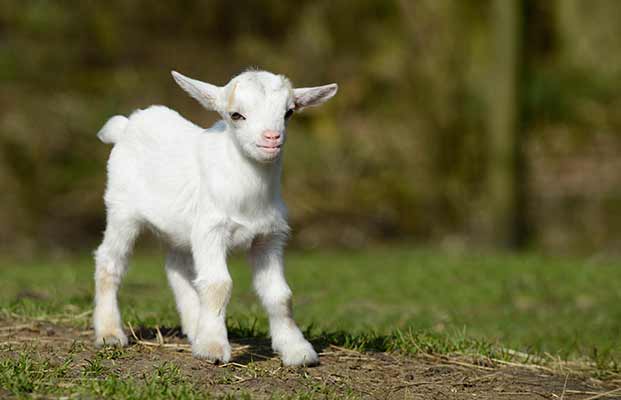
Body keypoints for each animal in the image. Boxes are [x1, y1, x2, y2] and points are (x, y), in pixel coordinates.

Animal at [92, 69, 336, 366]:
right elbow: (219, 284)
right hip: (122, 212)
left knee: (177, 267)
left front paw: (296, 349)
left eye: (288, 112)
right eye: (236, 115)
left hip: (180, 228)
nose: (272, 138)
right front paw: (213, 348)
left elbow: (280, 294)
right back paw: (110, 332)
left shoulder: (269, 237)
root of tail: (125, 126)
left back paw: (193, 326)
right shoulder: (211, 230)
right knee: (109, 261)